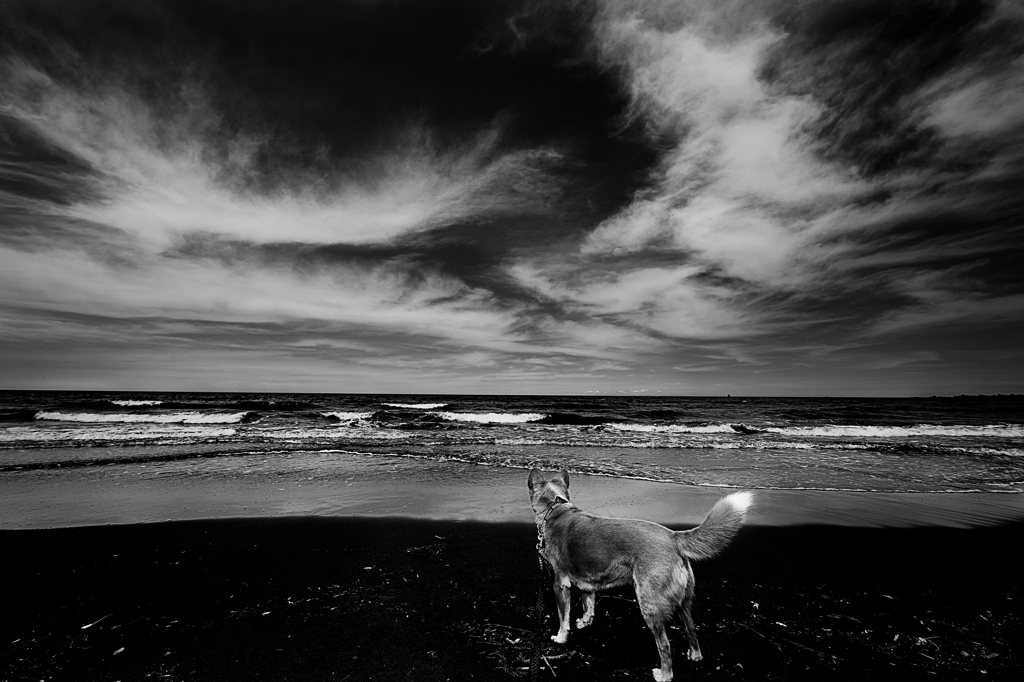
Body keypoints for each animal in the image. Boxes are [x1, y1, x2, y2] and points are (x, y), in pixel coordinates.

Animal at [528, 466, 753, 679]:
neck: (556, 508)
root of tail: (673, 537)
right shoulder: (588, 582)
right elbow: (588, 605)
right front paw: (584, 622)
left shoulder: (560, 584)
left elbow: (563, 617)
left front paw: (560, 638)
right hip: (684, 602)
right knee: (691, 629)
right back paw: (694, 656)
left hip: (649, 604)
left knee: (664, 645)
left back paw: (664, 675)